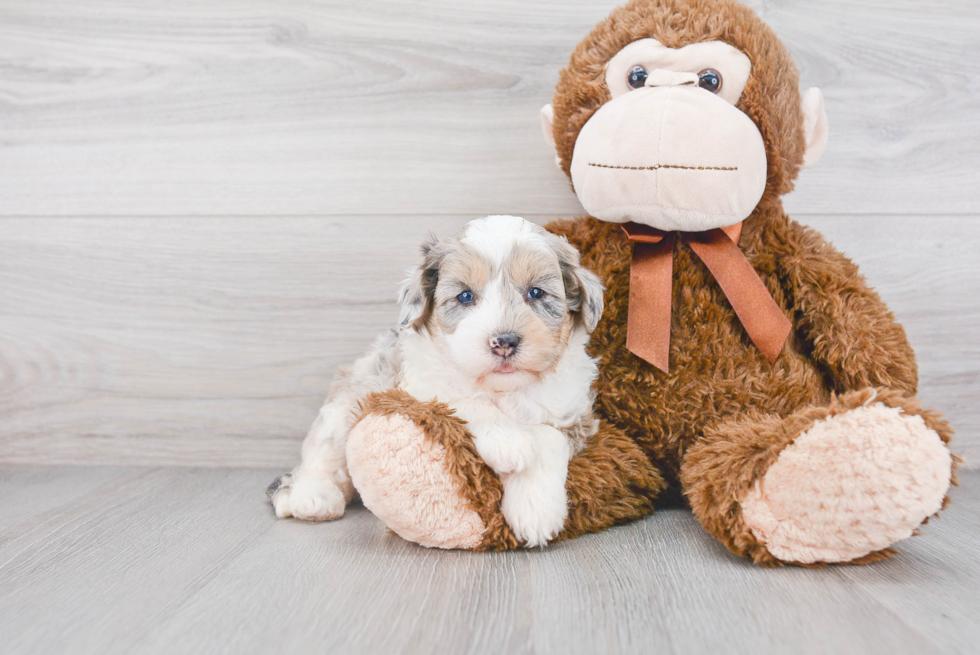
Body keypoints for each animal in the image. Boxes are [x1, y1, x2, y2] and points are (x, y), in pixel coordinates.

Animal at [268, 217, 604, 548]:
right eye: (465, 296)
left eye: (536, 293)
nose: (504, 342)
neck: (501, 390)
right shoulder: (418, 385)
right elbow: (463, 399)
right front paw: (508, 441)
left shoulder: (574, 413)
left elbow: (549, 437)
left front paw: (536, 510)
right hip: (349, 399)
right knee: (320, 454)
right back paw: (311, 498)